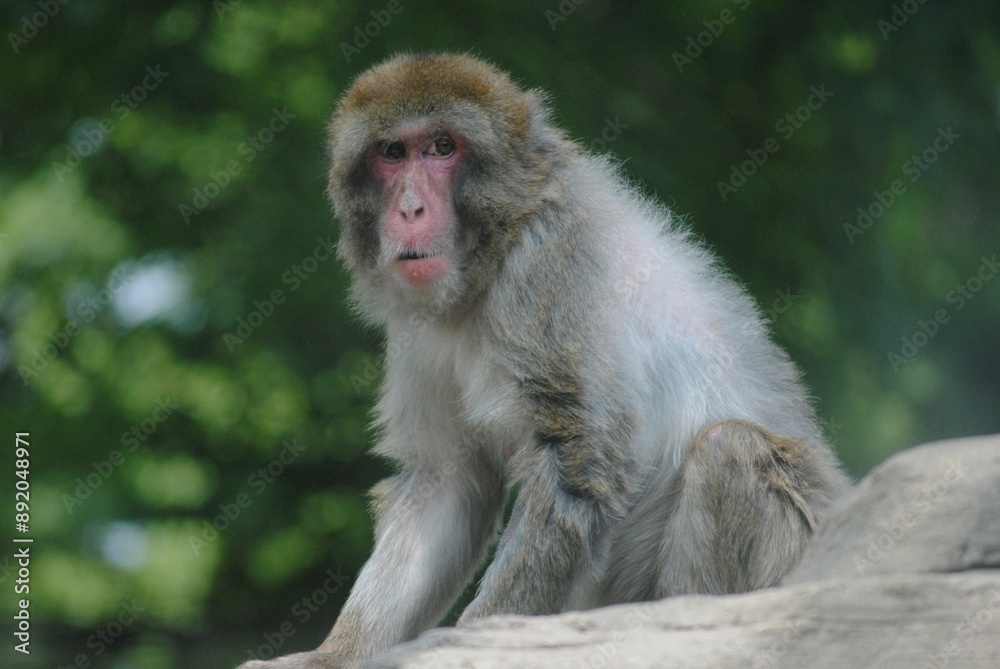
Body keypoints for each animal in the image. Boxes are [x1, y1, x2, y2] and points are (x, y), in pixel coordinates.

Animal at [236, 53, 849, 669]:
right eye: (392, 153)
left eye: (441, 147)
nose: (410, 209)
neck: (489, 259)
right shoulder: (419, 328)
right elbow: (448, 480)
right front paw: (333, 655)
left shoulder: (547, 268)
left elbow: (574, 472)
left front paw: (475, 645)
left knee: (728, 448)